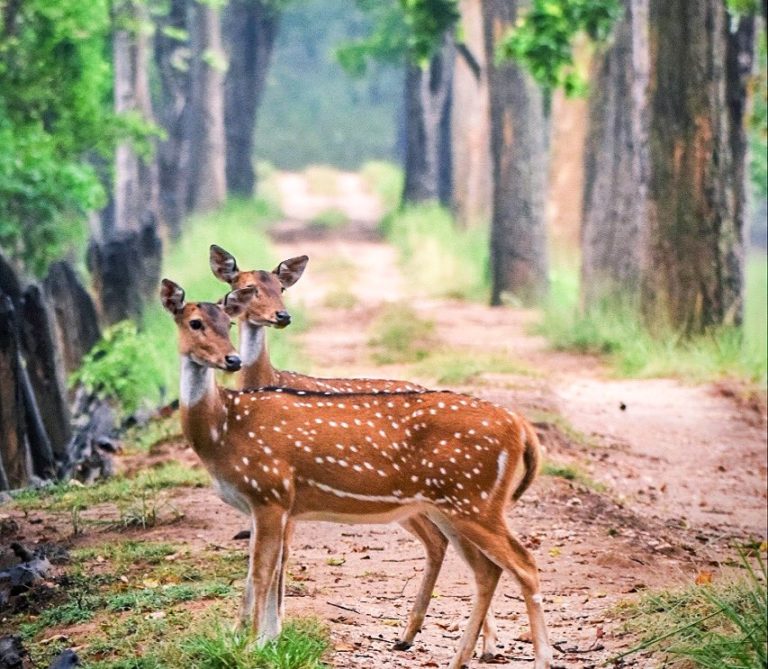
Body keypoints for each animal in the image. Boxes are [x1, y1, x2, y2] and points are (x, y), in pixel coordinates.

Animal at [160, 278, 552, 668]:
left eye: (228, 323)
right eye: (195, 323)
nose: (232, 359)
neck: (222, 432)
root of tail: (520, 427)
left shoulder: (270, 492)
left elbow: (261, 572)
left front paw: (252, 648)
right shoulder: (271, 505)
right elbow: (269, 571)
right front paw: (266, 641)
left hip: (474, 500)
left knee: (524, 563)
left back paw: (538, 659)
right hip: (454, 504)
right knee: (487, 569)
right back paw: (458, 657)